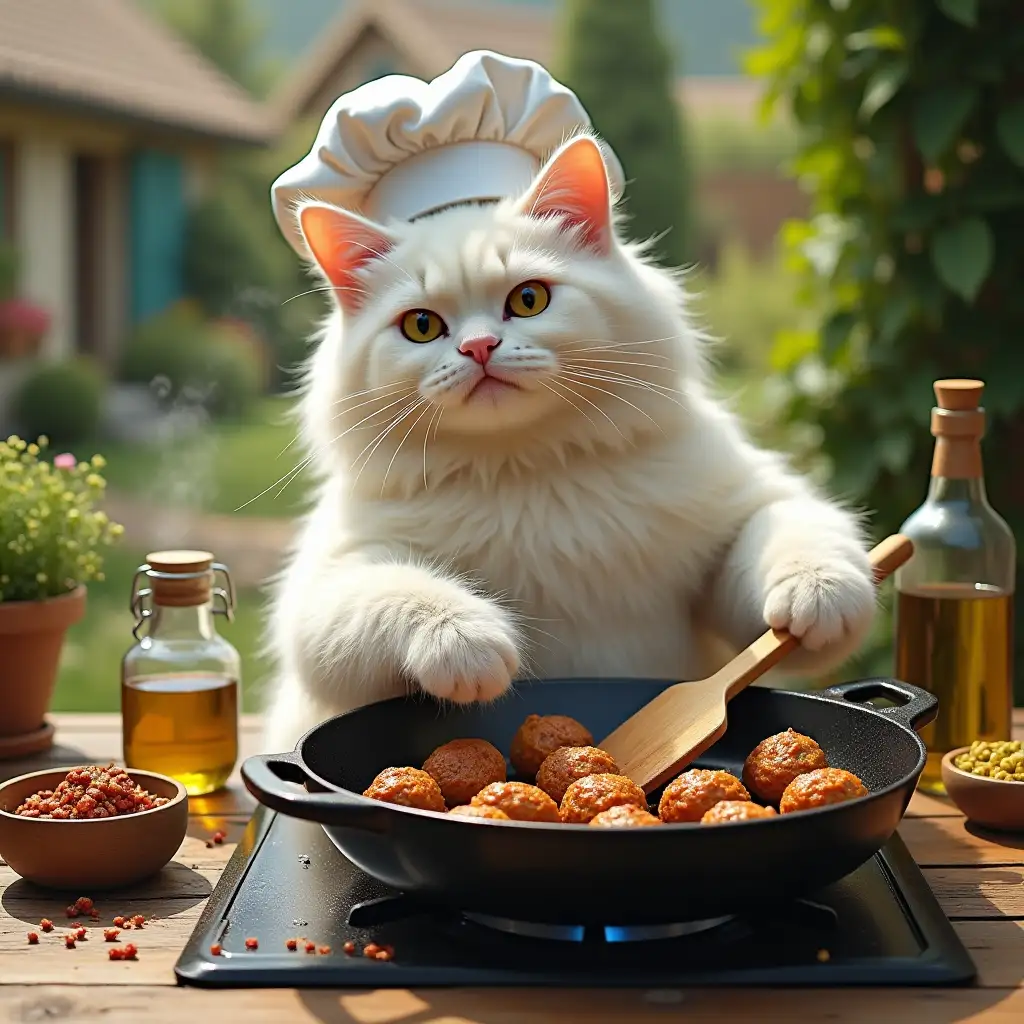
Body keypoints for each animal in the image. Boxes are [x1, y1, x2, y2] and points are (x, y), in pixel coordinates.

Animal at [260, 132, 876, 749]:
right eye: (422, 326)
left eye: (529, 299)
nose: (479, 347)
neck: (531, 470)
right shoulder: (327, 586)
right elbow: (397, 593)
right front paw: (468, 643)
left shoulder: (749, 507)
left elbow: (792, 538)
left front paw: (820, 596)